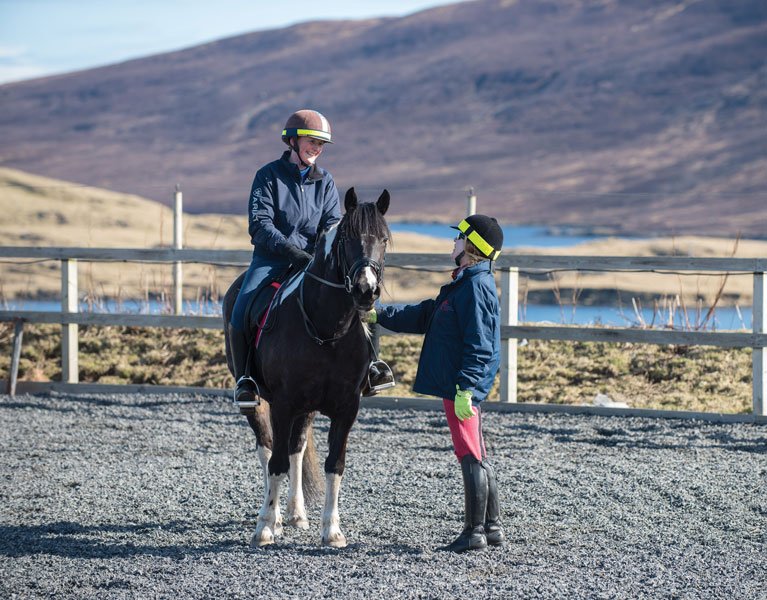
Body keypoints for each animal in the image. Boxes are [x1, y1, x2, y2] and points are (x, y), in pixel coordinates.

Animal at [223, 187, 390, 548]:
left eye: (384, 239)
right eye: (347, 238)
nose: (366, 290)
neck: (327, 329)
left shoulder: (347, 407)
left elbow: (334, 464)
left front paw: (332, 530)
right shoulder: (283, 404)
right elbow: (276, 463)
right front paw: (265, 528)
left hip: (307, 408)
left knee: (296, 449)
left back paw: (296, 514)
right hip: (259, 401)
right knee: (267, 448)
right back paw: (271, 517)